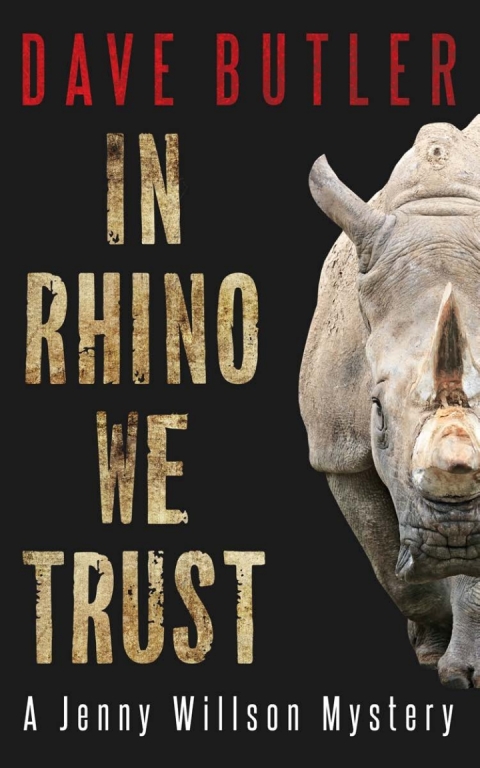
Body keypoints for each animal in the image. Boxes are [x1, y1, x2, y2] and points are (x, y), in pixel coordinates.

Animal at [299, 116, 480, 689]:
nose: (453, 538)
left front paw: (463, 672)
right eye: (375, 408)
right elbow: (388, 562)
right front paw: (430, 645)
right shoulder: (338, 445)